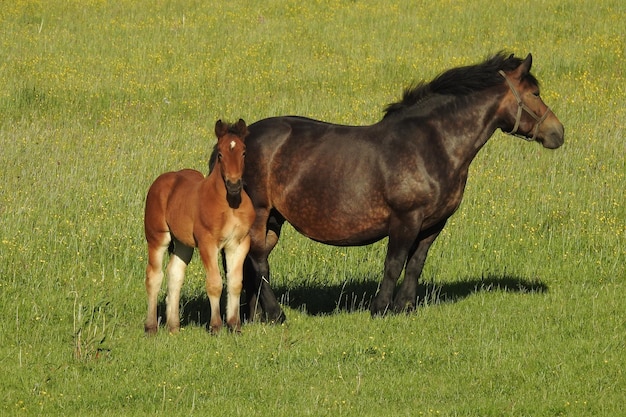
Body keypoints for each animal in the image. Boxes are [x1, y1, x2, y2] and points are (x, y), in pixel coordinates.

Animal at [144, 118, 254, 334]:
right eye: (220, 154)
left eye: (244, 152)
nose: (234, 185)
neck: (230, 203)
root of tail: (161, 181)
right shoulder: (207, 243)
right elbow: (215, 283)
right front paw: (216, 326)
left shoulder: (239, 244)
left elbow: (235, 283)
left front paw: (234, 325)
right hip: (157, 238)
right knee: (154, 276)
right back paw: (151, 326)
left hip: (183, 244)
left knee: (175, 274)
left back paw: (173, 326)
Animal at [238, 51, 560, 318]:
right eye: (535, 93)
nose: (558, 132)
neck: (431, 145)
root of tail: (239, 139)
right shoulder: (406, 219)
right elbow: (394, 264)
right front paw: (380, 309)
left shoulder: (433, 224)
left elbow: (415, 265)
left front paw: (405, 308)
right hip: (260, 213)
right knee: (258, 260)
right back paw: (275, 314)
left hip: (274, 220)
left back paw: (254, 316)